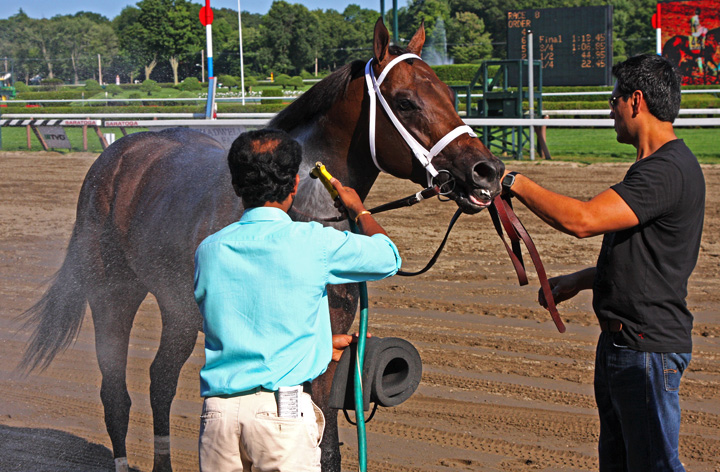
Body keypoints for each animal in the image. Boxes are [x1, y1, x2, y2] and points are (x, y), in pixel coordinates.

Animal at [16, 19, 500, 472]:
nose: (486, 170)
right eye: (405, 102)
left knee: (161, 380)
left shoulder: (330, 345)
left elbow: (326, 445)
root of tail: (115, 156)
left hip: (177, 308)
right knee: (115, 391)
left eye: (451, 95)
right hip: (111, 292)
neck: (301, 206)